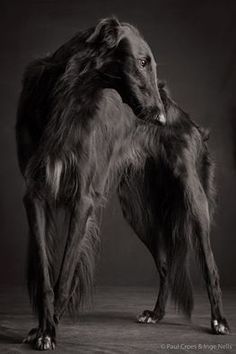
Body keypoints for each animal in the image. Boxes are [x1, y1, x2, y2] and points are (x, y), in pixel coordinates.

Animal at [15, 18, 166, 350]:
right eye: (142, 62)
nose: (162, 118)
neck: (67, 95)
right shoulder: (35, 194)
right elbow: (45, 275)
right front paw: (42, 328)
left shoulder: (82, 199)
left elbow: (64, 275)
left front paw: (49, 329)